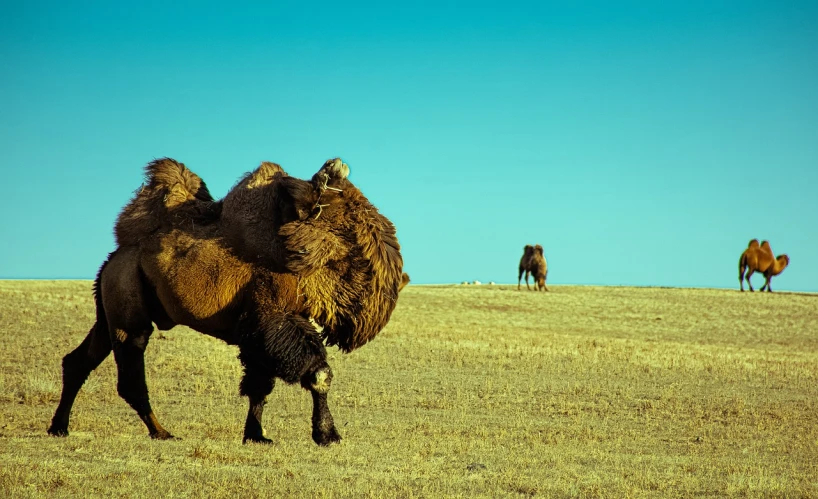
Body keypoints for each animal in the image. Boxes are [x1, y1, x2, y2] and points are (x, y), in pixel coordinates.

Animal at [48, 157, 402, 446]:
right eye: (336, 198)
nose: (333, 166)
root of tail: (115, 256)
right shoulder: (272, 317)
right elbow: (318, 374)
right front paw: (327, 435)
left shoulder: (258, 330)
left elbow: (260, 384)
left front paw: (256, 435)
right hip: (128, 313)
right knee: (130, 377)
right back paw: (162, 432)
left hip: (108, 311)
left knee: (78, 361)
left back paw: (59, 427)